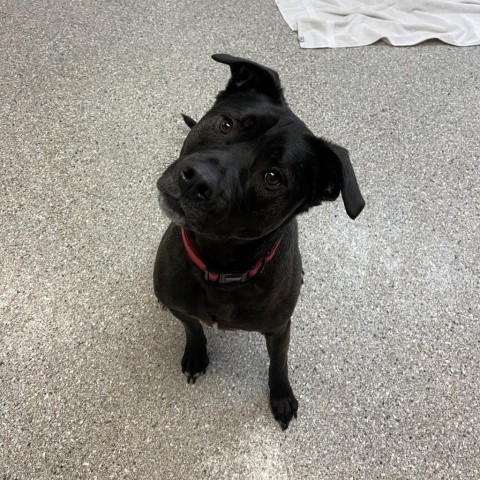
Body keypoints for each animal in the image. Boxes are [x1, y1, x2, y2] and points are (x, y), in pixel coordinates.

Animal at [154, 54, 364, 430]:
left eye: (273, 177)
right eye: (226, 124)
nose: (196, 181)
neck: (220, 267)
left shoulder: (279, 329)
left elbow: (278, 363)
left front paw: (280, 396)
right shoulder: (179, 304)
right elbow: (192, 326)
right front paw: (196, 353)